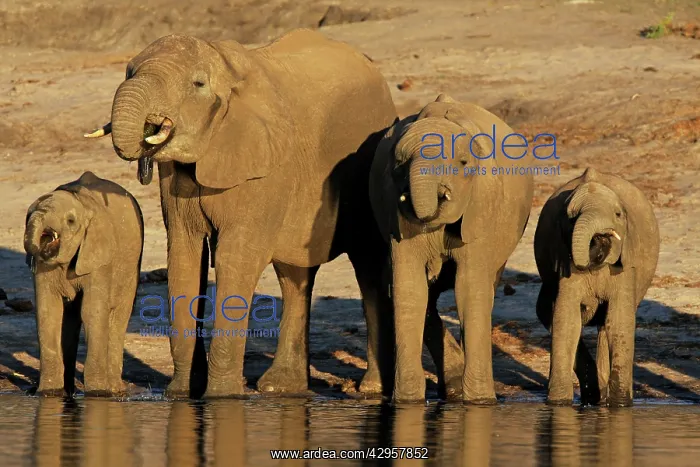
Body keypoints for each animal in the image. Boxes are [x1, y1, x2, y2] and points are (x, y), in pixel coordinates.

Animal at [23, 171, 144, 397]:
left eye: (71, 221)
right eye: (29, 215)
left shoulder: (99, 258)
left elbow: (92, 311)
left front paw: (98, 394)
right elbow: (48, 311)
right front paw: (48, 393)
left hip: (131, 268)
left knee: (119, 315)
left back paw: (115, 390)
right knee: (69, 319)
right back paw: (68, 391)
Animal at [84, 29, 412, 399]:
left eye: (197, 84)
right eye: (128, 72)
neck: (226, 67)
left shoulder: (264, 171)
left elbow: (235, 257)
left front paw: (222, 398)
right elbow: (184, 256)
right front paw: (181, 397)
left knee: (367, 266)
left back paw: (369, 389)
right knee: (295, 275)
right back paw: (281, 388)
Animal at [369, 94, 534, 403]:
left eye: (463, 163)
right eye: (400, 164)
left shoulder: (480, 209)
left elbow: (469, 289)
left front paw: (480, 402)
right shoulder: (396, 217)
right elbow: (408, 289)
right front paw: (407, 403)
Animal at [534, 167, 660, 407]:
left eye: (618, 215)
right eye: (571, 217)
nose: (600, 239)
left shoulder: (626, 266)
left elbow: (619, 321)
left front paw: (620, 406)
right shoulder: (563, 260)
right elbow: (566, 320)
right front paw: (558, 404)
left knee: (605, 324)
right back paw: (595, 398)